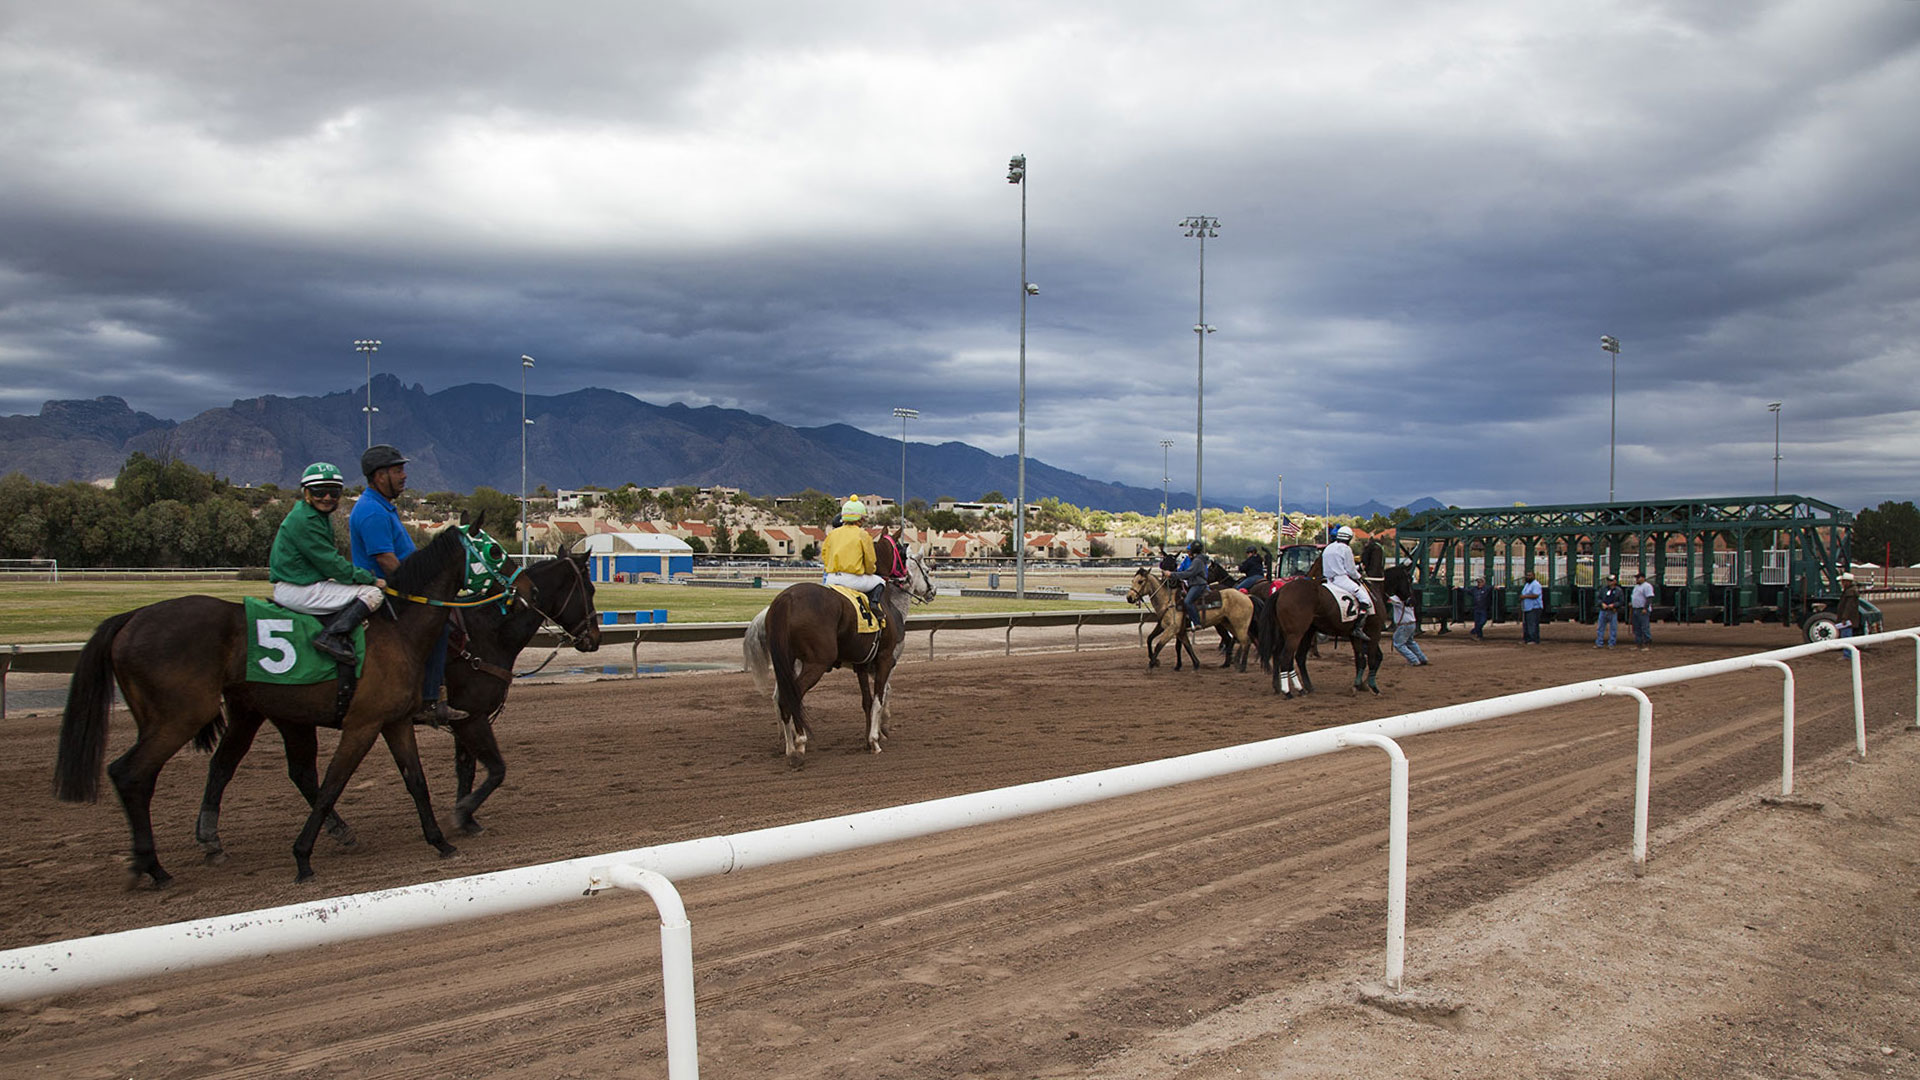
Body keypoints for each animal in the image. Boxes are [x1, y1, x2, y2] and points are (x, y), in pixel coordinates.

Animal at [58, 518, 487, 880]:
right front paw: (302, 857)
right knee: (131, 773)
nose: (505, 583)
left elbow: (416, 781)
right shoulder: (362, 724)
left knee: (216, 767)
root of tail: (130, 617)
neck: (396, 630)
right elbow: (333, 784)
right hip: (182, 715)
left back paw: (193, 848)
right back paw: (153, 866)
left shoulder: (393, 721)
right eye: (493, 551)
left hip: (236, 713)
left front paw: (440, 841)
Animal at [188, 541, 602, 860]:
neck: (488, 633)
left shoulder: (462, 720)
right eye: (590, 589)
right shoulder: (473, 717)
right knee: (291, 772)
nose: (594, 639)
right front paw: (461, 813)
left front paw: (467, 820)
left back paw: (215, 837)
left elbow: (467, 769)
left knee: (234, 766)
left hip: (258, 713)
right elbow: (497, 770)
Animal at [752, 526, 933, 757]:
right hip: (816, 662)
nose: (932, 590)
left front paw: (869, 738)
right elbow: (880, 697)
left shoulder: (862, 665)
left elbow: (867, 701)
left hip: (786, 662)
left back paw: (788, 745)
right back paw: (799, 743)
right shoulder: (886, 660)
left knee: (780, 697)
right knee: (792, 696)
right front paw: (877, 737)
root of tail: (786, 599)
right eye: (927, 569)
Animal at [1121, 568, 1259, 668]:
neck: (1168, 601)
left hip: (1238, 625)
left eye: (1140, 581)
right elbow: (1153, 640)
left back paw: (1241, 664)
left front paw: (1153, 664)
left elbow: (1160, 645)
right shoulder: (1170, 628)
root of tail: (1246, 596)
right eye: (1132, 581)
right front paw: (1193, 664)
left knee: (1244, 641)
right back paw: (1229, 663)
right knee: (1236, 640)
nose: (1129, 597)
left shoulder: (1173, 628)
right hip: (1226, 623)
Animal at [1267, 557, 1420, 691]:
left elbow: (1361, 659)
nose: (1412, 601)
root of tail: (1282, 590)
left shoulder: (1356, 635)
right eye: (1409, 579)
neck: (1375, 591)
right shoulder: (1374, 631)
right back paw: (1291, 690)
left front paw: (1359, 684)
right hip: (1296, 633)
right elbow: (1372, 658)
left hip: (1300, 632)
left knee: (1291, 656)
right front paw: (1371, 685)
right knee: (1286, 657)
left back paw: (1292, 686)